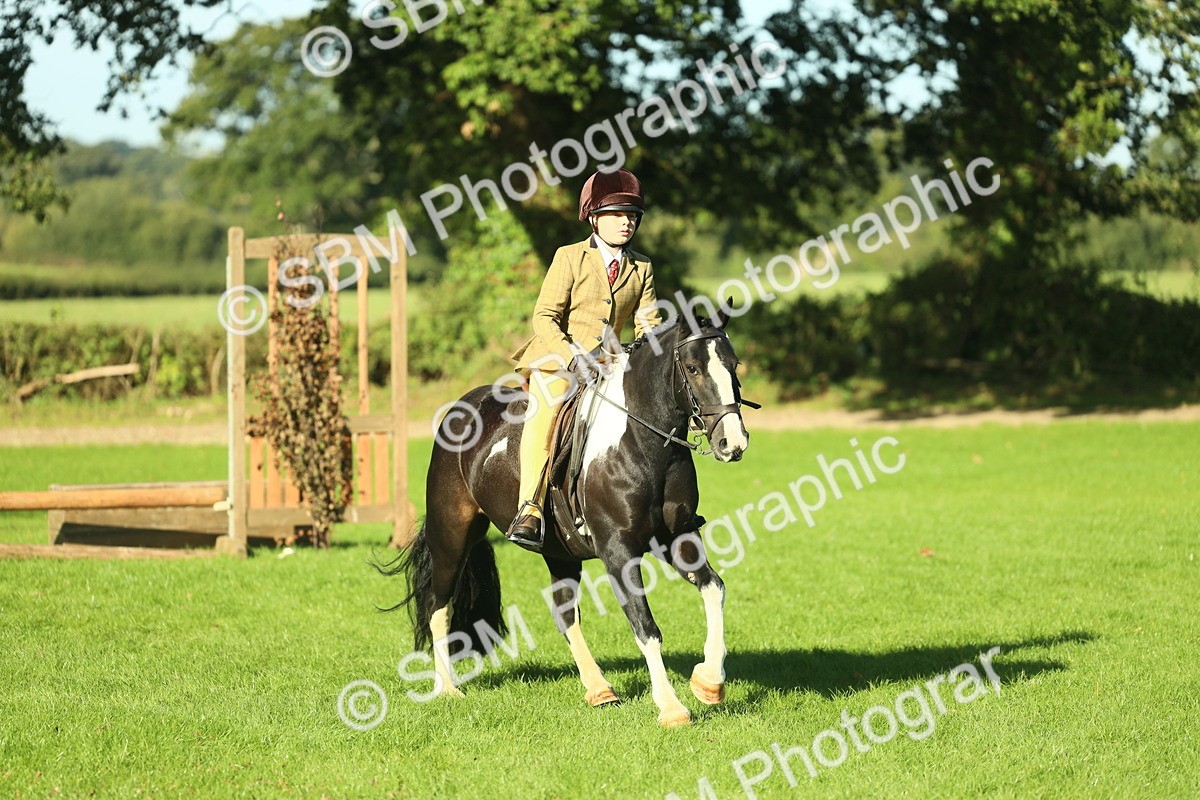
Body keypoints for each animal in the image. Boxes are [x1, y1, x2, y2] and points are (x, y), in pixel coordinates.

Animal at [382, 309, 751, 727]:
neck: (644, 443)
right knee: (438, 605)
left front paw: (709, 682)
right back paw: (447, 688)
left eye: (734, 365)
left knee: (564, 612)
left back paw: (599, 689)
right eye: (692, 368)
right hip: (452, 534)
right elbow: (645, 626)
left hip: (559, 551)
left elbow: (714, 588)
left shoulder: (679, 537)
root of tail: (461, 406)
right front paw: (671, 708)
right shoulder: (618, 551)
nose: (733, 443)